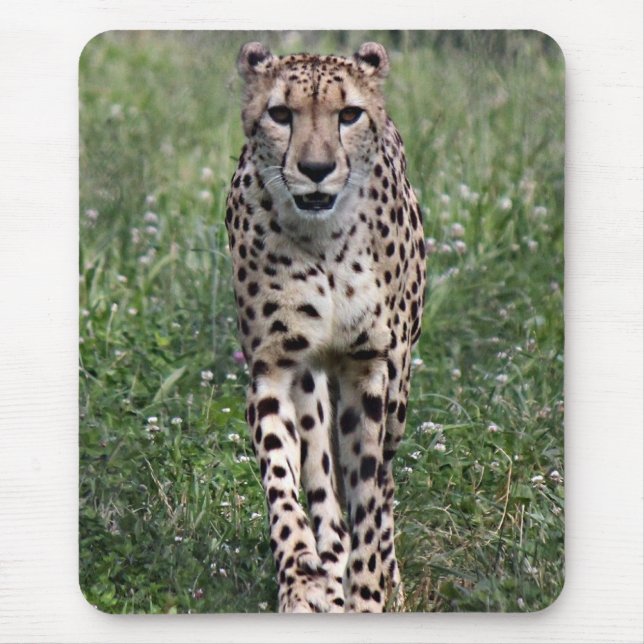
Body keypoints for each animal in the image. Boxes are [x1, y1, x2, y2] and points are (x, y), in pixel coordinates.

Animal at [224, 41, 427, 613]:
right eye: (280, 114)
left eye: (349, 114)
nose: (316, 169)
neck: (324, 242)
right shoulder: (275, 366)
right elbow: (283, 481)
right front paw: (305, 580)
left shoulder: (370, 368)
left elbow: (370, 492)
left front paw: (369, 589)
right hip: (314, 383)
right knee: (322, 483)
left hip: (399, 388)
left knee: (385, 482)